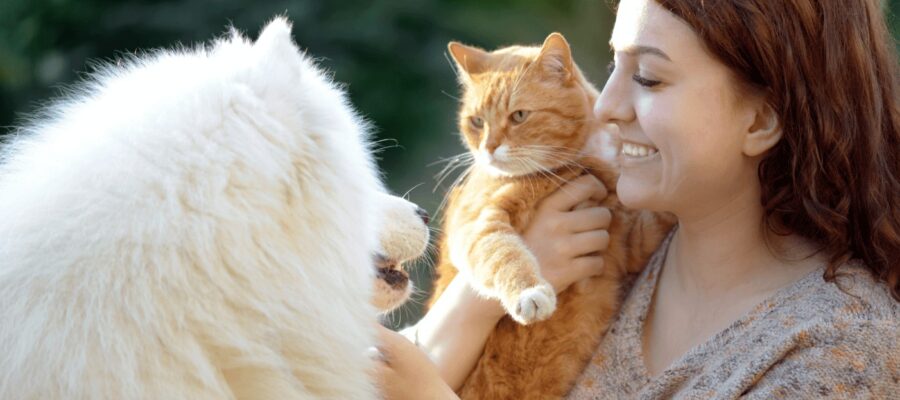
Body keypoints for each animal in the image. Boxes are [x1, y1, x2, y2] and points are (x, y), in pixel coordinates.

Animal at [428, 33, 677, 399]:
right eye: (477, 122)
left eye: (519, 116)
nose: (488, 149)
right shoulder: (478, 223)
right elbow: (504, 256)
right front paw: (529, 292)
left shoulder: (625, 238)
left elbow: (659, 217)